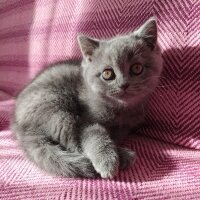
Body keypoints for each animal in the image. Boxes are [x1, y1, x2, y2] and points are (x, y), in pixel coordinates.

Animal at [11, 17, 162, 178]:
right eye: (107, 74)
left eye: (137, 68)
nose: (123, 85)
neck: (120, 110)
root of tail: (19, 124)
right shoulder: (85, 121)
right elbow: (94, 135)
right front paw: (107, 161)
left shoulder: (127, 126)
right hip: (56, 108)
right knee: (72, 142)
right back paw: (124, 156)